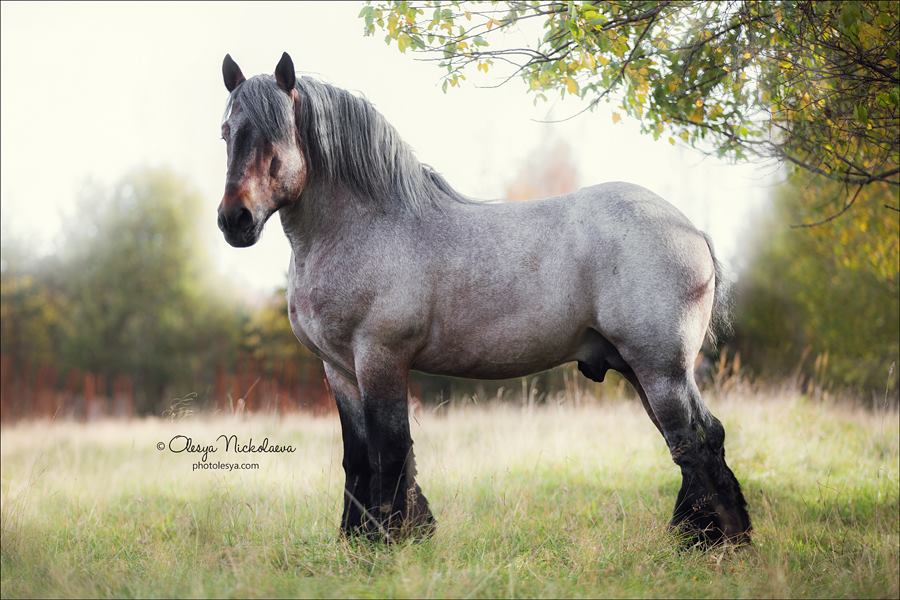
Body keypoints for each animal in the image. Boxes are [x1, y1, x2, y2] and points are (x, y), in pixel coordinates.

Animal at [218, 52, 752, 548]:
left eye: (277, 137)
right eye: (226, 132)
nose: (234, 220)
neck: (365, 227)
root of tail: (690, 229)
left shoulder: (380, 358)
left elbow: (390, 450)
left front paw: (391, 542)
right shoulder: (339, 369)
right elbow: (359, 457)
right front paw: (359, 540)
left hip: (661, 369)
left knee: (694, 440)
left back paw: (715, 540)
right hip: (642, 369)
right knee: (694, 441)